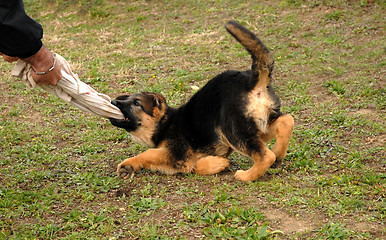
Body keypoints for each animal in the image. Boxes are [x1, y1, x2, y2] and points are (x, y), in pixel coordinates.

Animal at [110, 21, 294, 182]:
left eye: (136, 103)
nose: (113, 102)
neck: (165, 123)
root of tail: (250, 81)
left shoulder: (175, 154)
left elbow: (148, 154)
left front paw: (127, 164)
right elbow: (197, 166)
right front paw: (218, 164)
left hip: (234, 131)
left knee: (265, 156)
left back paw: (247, 175)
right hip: (259, 125)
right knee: (286, 121)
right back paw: (279, 153)